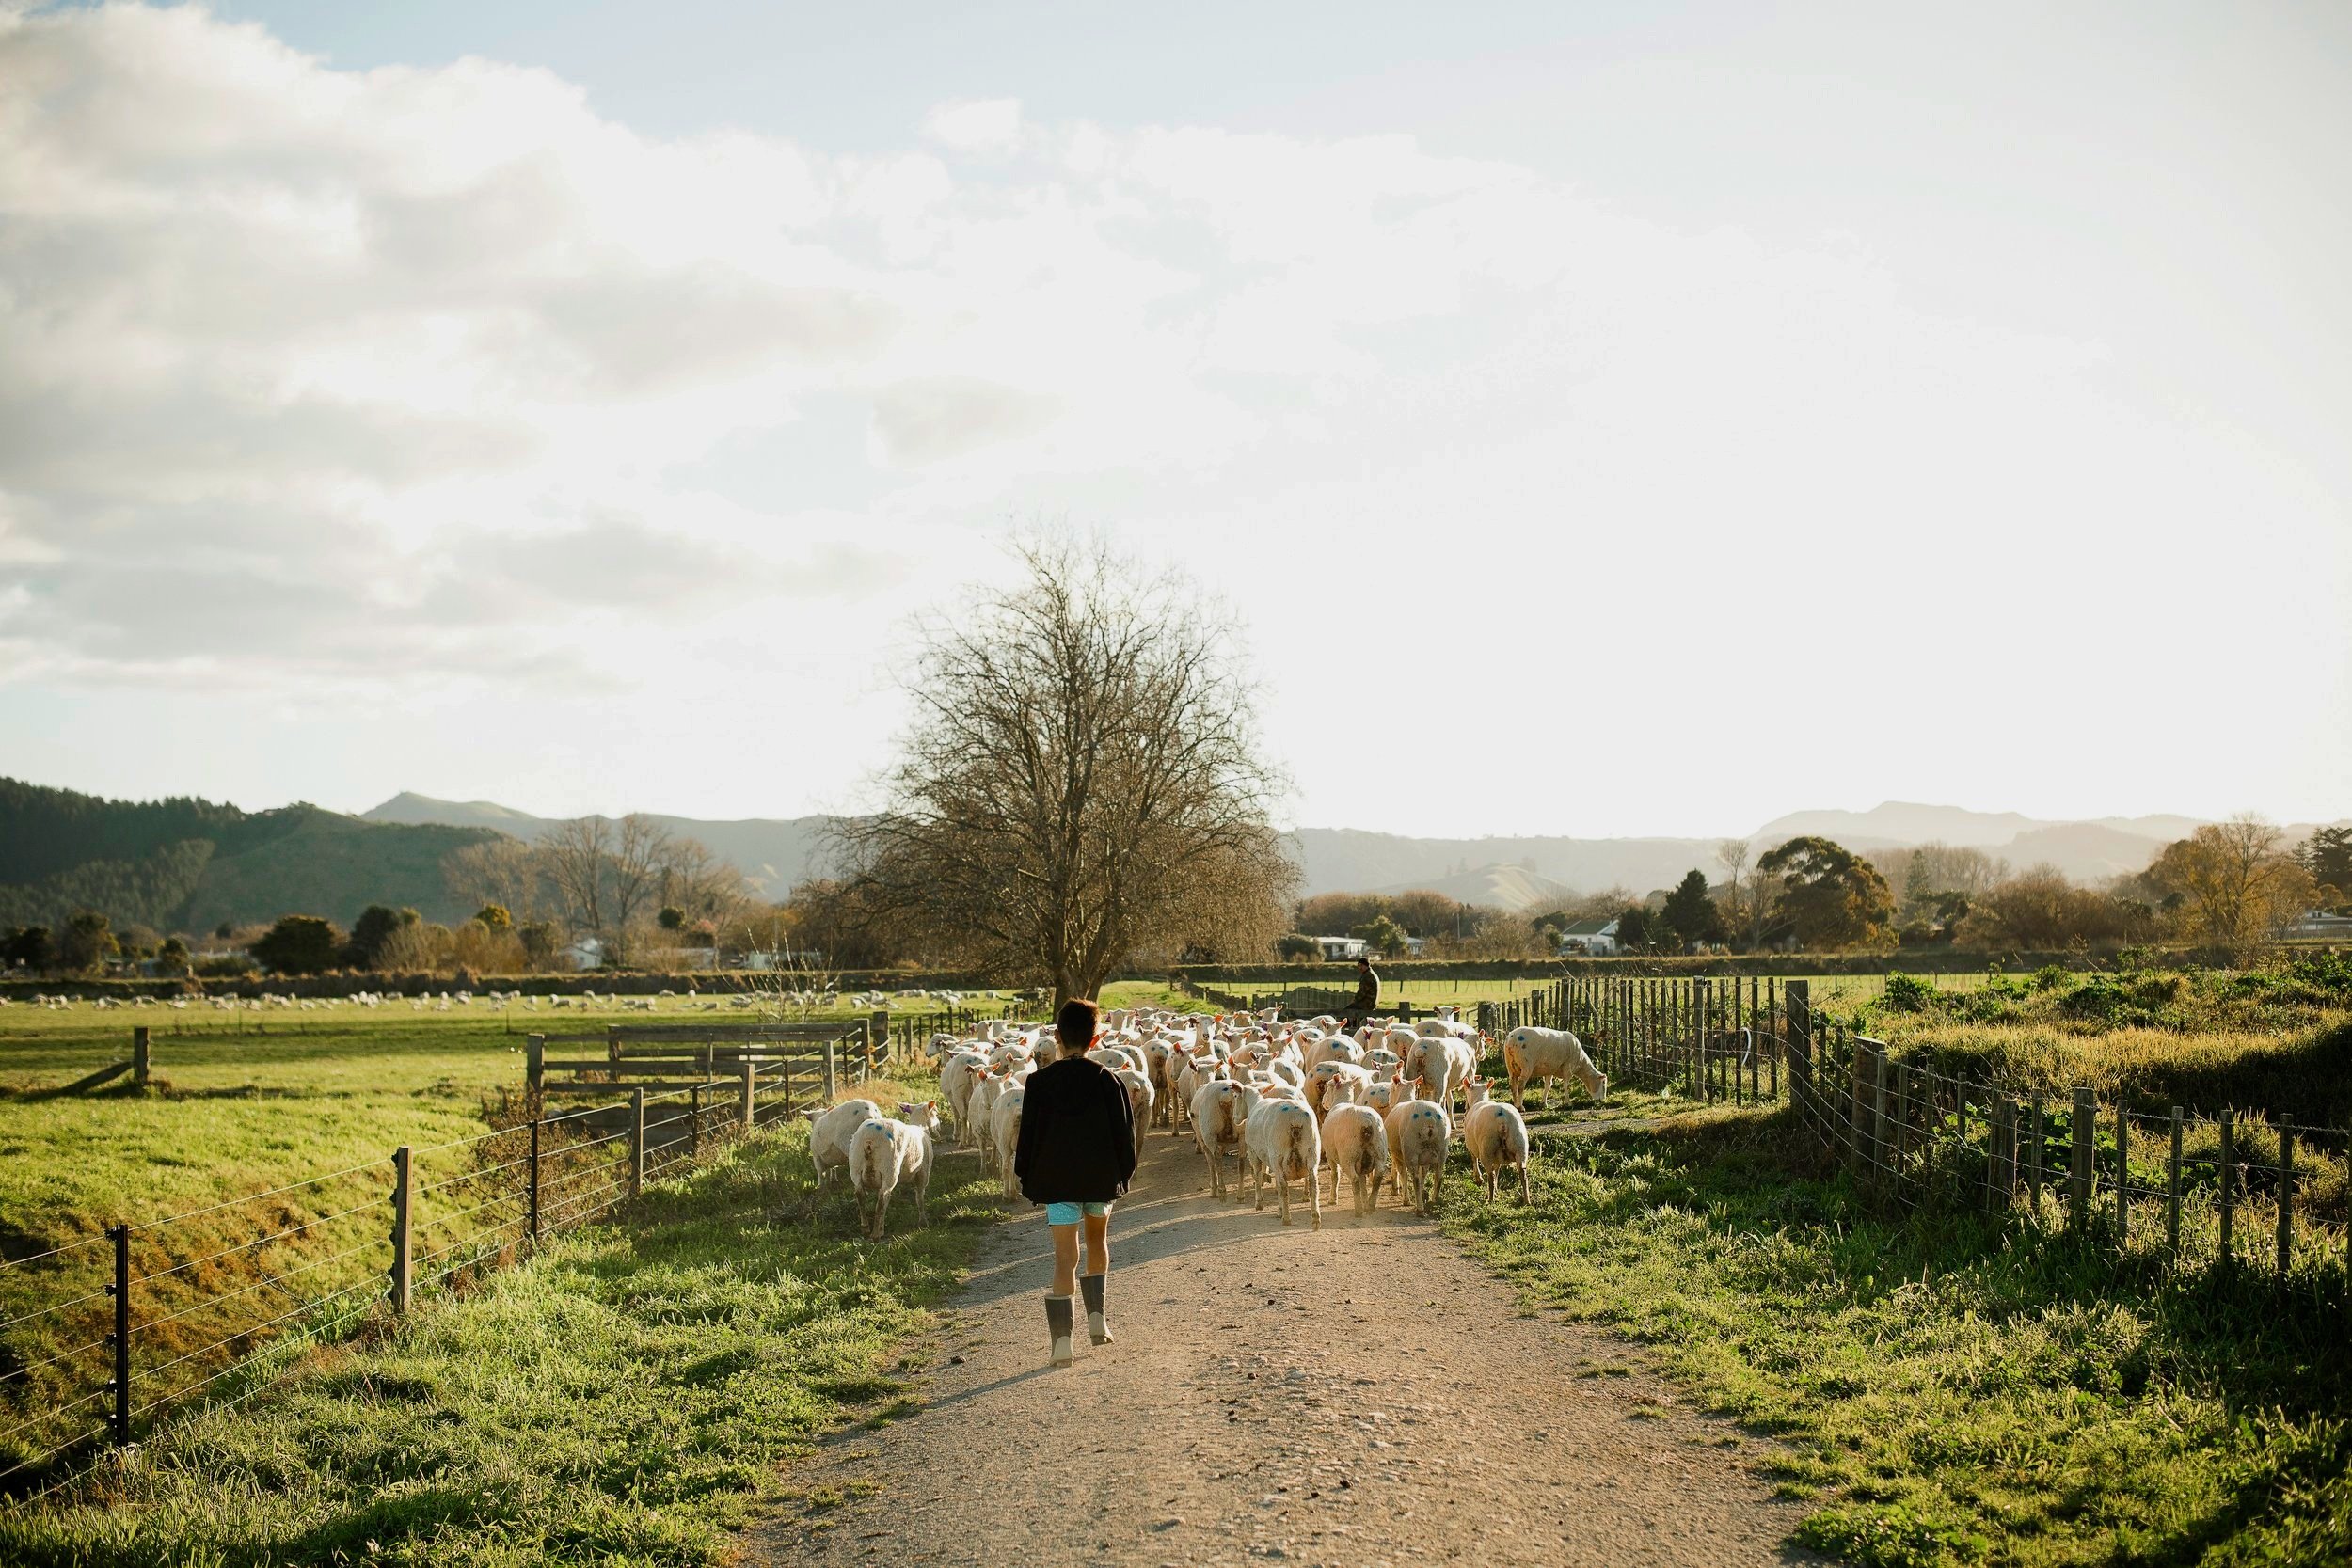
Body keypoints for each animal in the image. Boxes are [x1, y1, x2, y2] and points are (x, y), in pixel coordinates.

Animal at [847, 1104, 936, 1241]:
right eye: (935, 1113)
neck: (920, 1126)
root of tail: (869, 1139)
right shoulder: (923, 1172)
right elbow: (919, 1198)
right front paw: (923, 1222)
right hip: (890, 1168)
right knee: (882, 1199)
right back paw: (876, 1234)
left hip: (855, 1166)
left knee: (861, 1195)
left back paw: (866, 1228)